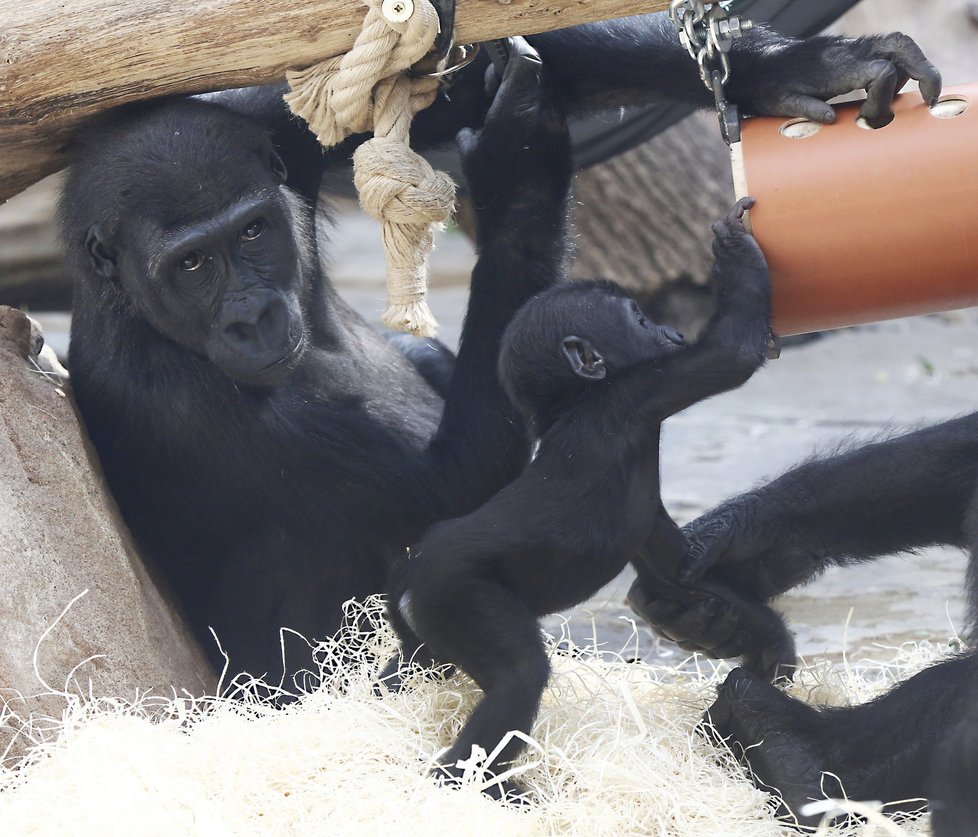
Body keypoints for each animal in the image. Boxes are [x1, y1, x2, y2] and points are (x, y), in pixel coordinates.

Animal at [63, 16, 936, 684]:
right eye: (191, 265)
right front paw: (519, 145)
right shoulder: (181, 402)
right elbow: (453, 482)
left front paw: (799, 68)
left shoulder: (272, 135)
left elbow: (450, 83)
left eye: (250, 232)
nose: (251, 315)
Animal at [386, 196, 788, 792]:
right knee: (519, 677)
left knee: (414, 667)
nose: (669, 330)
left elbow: (676, 569)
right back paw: (473, 785)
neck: (574, 399)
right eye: (639, 320)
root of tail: (410, 578)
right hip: (455, 593)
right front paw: (734, 249)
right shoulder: (638, 392)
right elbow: (731, 353)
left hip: (422, 624)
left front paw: (767, 639)